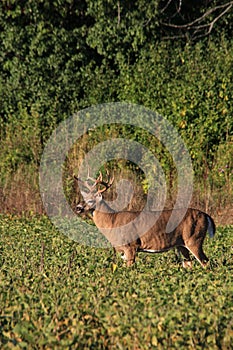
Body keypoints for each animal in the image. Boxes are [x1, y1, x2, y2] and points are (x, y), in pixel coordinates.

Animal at [74, 172, 215, 268]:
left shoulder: (131, 246)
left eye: (90, 200)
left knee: (206, 263)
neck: (112, 222)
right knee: (189, 264)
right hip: (182, 245)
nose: (78, 208)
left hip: (194, 239)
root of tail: (206, 215)